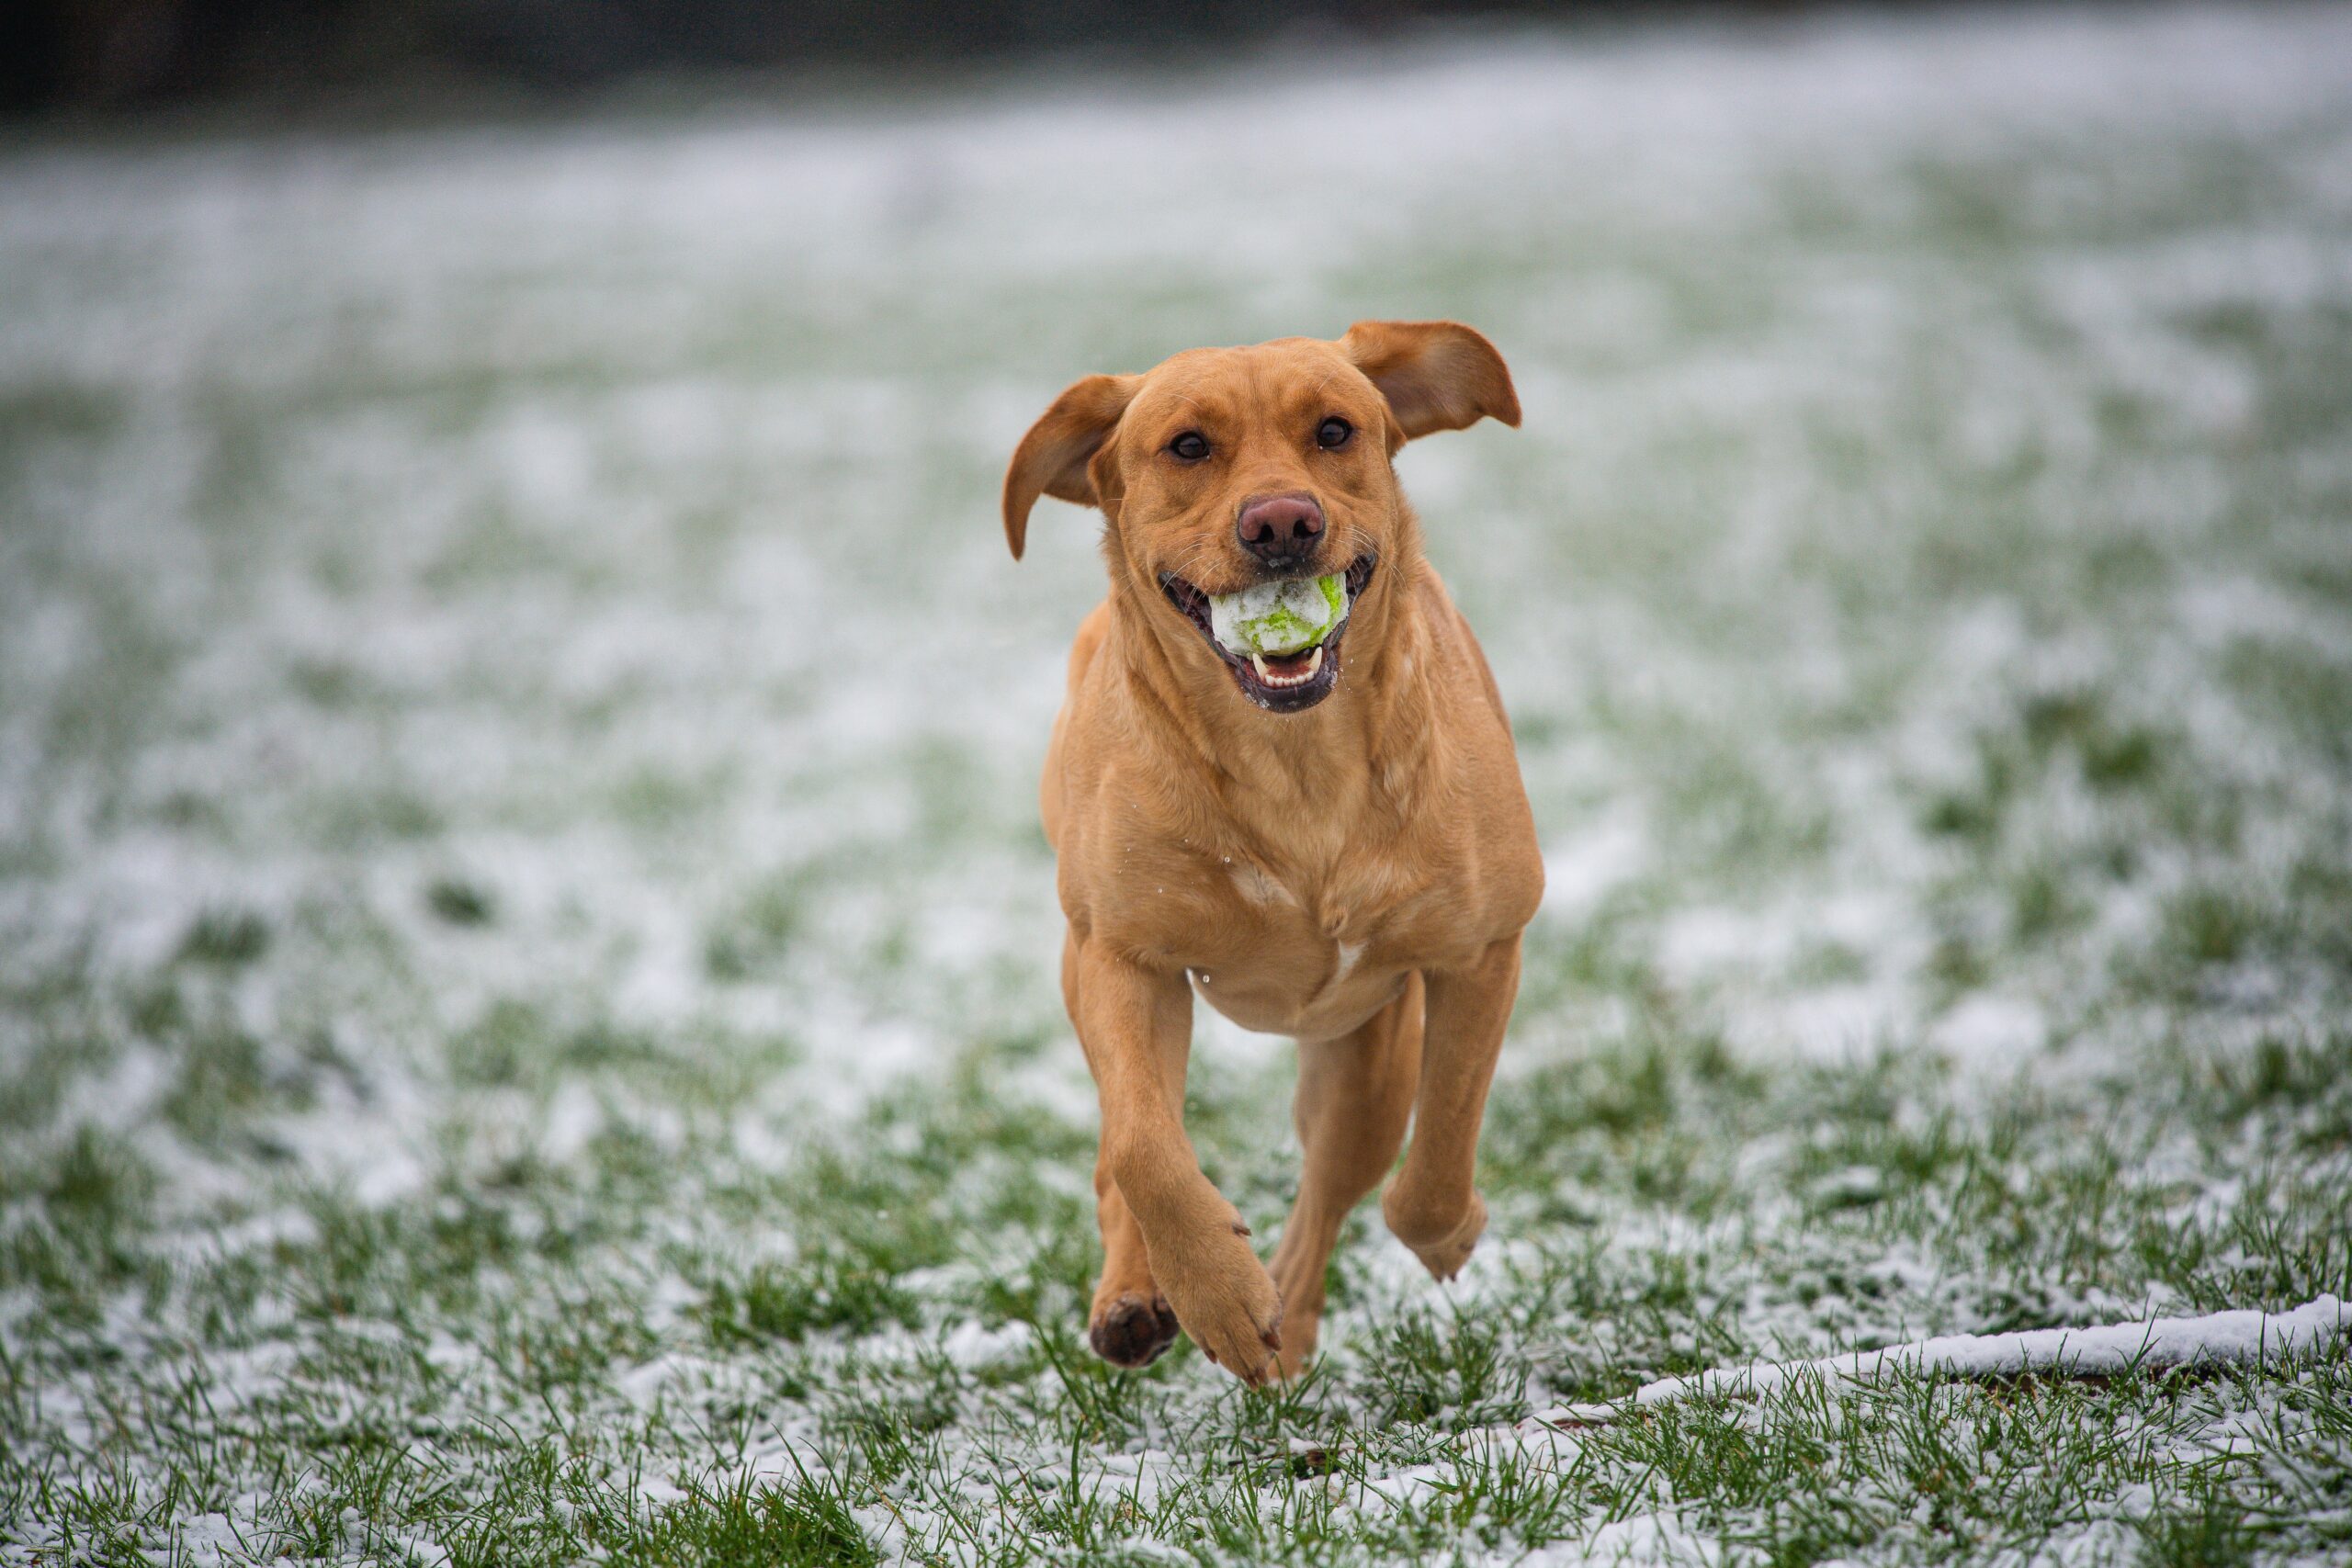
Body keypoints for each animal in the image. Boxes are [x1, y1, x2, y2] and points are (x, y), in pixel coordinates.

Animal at [1006, 321, 1543, 1382]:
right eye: (1186, 446)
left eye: (1334, 430)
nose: (1283, 522)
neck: (1293, 767)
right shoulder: (1120, 956)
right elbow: (1144, 1149)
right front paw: (1213, 1292)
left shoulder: (1481, 950)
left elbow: (1437, 1150)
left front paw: (1449, 1232)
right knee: (1122, 1142)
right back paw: (1138, 1298)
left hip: (1366, 1054)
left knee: (1337, 1180)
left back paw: (1285, 1316)